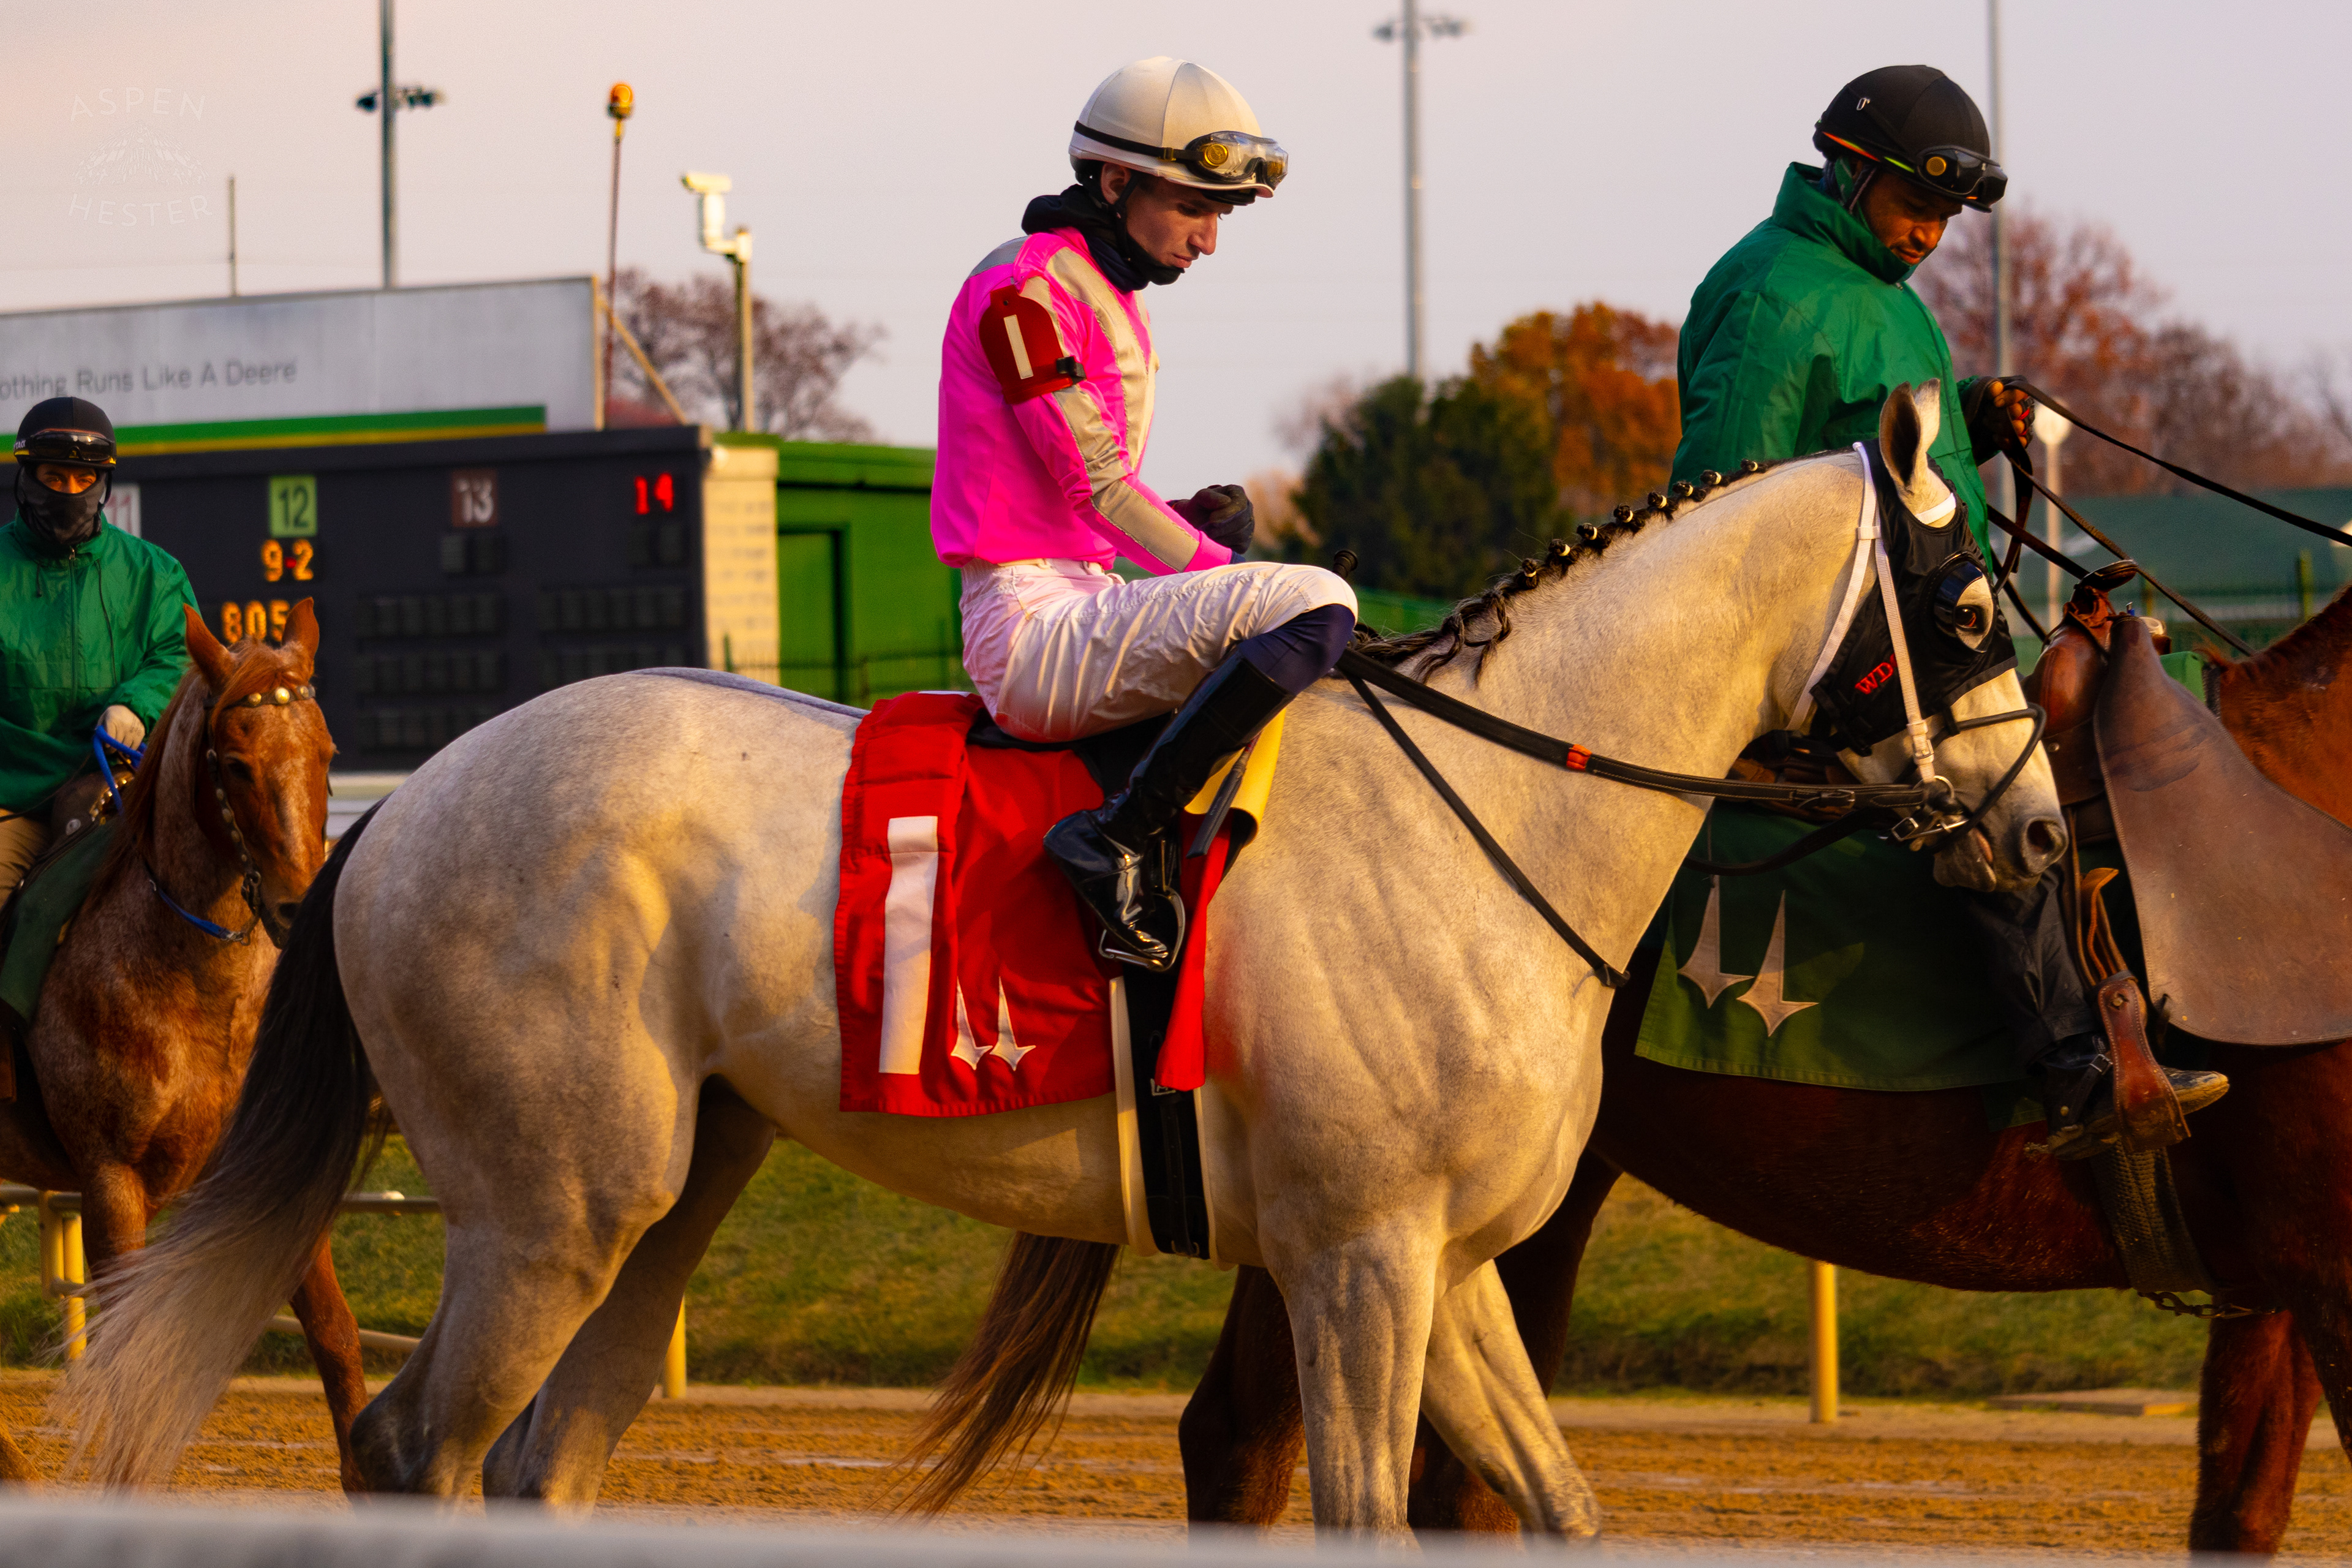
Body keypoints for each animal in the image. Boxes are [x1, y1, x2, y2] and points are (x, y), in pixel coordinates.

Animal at [0, 602, 367, 1487]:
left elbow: (336, 1336)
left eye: (327, 753)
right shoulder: (111, 1182)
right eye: (234, 763)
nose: (301, 906)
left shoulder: (270, 1165)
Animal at [59, 386, 2062, 1538]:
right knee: (414, 1449)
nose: (2043, 831)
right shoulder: (1353, 1255)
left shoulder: (1447, 1260)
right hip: (552, 1204)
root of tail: (397, 812)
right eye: (1970, 607)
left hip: (678, 1180)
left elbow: (1557, 1503)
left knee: (546, 1460)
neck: (1490, 812)